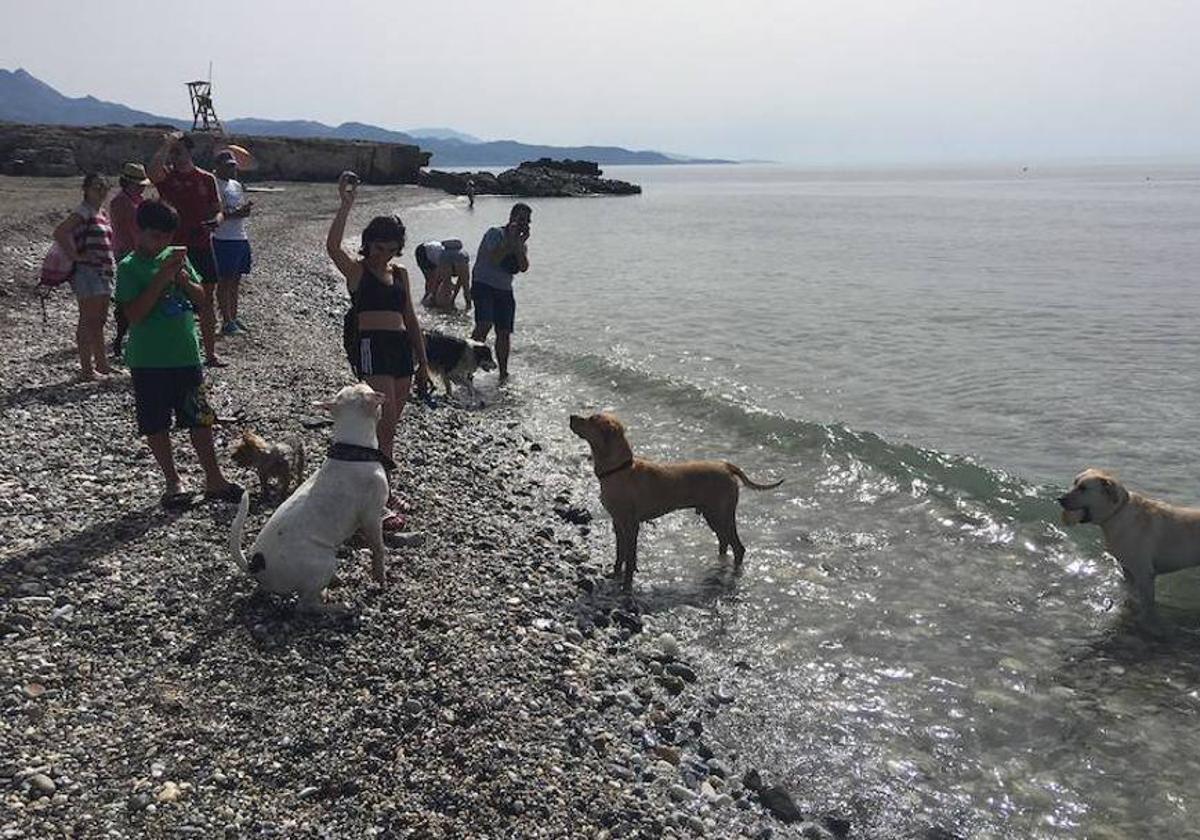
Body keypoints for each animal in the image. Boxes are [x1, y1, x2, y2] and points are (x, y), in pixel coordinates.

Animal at [229, 381, 388, 609]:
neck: (351, 448)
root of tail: (255, 566)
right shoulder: (372, 517)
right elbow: (379, 549)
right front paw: (380, 577)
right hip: (324, 561)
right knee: (305, 606)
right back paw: (339, 607)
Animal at [571, 412, 787, 590]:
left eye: (591, 419)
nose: (572, 416)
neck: (619, 470)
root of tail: (726, 466)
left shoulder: (631, 525)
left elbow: (630, 558)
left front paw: (627, 585)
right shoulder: (618, 523)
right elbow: (620, 554)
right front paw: (615, 574)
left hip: (720, 514)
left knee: (738, 547)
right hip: (713, 515)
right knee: (724, 541)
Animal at [1065, 465, 1200, 628]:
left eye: (1083, 488)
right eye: (1074, 483)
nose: (1060, 499)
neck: (1118, 512)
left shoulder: (1144, 574)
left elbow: (1147, 605)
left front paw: (1145, 620)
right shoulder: (1128, 571)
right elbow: (1130, 595)